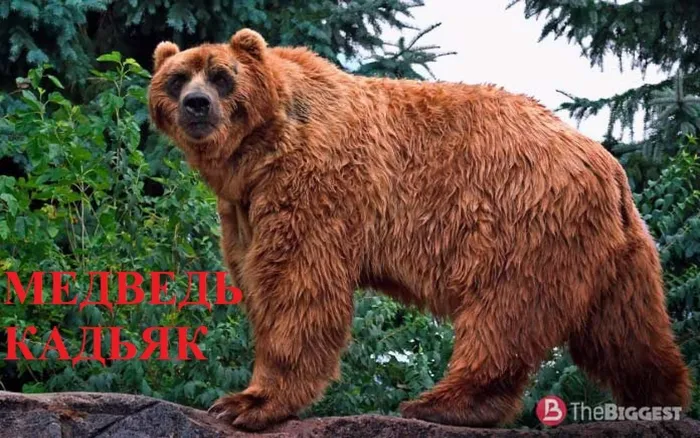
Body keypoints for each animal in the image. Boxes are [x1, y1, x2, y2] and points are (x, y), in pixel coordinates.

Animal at [147, 28, 691, 431]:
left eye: (222, 76)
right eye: (176, 78)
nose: (197, 104)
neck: (257, 151)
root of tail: (607, 165)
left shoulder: (315, 182)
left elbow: (295, 283)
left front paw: (247, 402)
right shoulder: (243, 204)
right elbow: (255, 273)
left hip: (522, 217)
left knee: (504, 311)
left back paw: (441, 402)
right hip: (615, 252)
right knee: (625, 329)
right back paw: (659, 398)